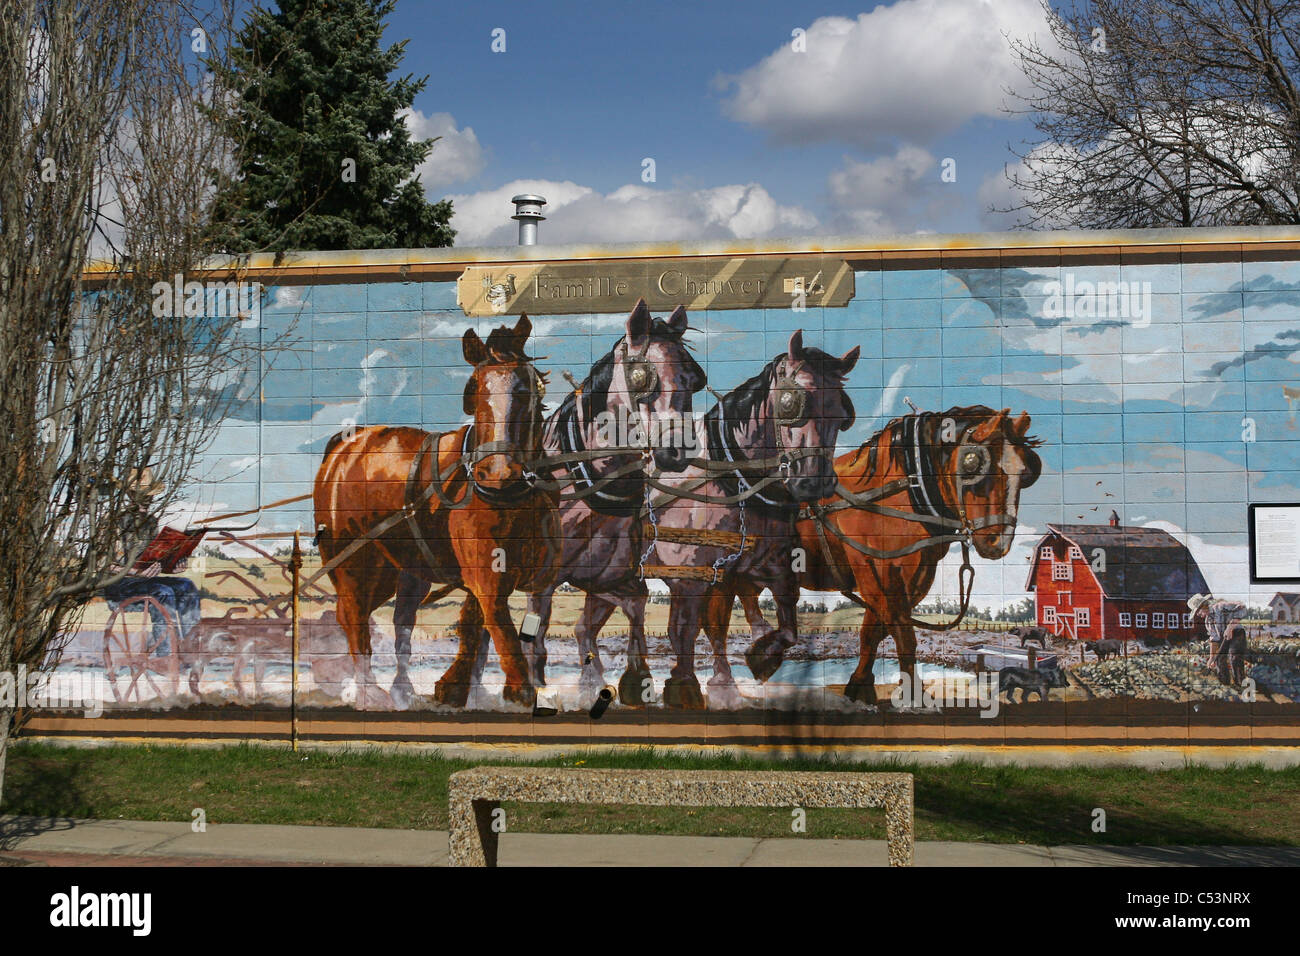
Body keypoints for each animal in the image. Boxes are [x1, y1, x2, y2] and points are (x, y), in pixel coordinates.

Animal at [318, 316, 559, 712]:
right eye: (474, 391)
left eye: (528, 389)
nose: (497, 472)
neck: (512, 499)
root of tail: (347, 444)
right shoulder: (486, 578)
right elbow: (499, 626)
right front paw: (517, 690)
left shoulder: (523, 577)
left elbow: (479, 624)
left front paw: (454, 687)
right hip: (354, 561)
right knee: (353, 616)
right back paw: (369, 691)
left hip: (401, 570)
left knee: (395, 619)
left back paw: (399, 689)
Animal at [717, 408, 1040, 707]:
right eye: (974, 464)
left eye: (1027, 471)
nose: (997, 541)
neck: (894, 490)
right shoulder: (874, 570)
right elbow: (903, 634)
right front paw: (913, 695)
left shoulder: (913, 574)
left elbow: (874, 631)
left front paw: (860, 685)